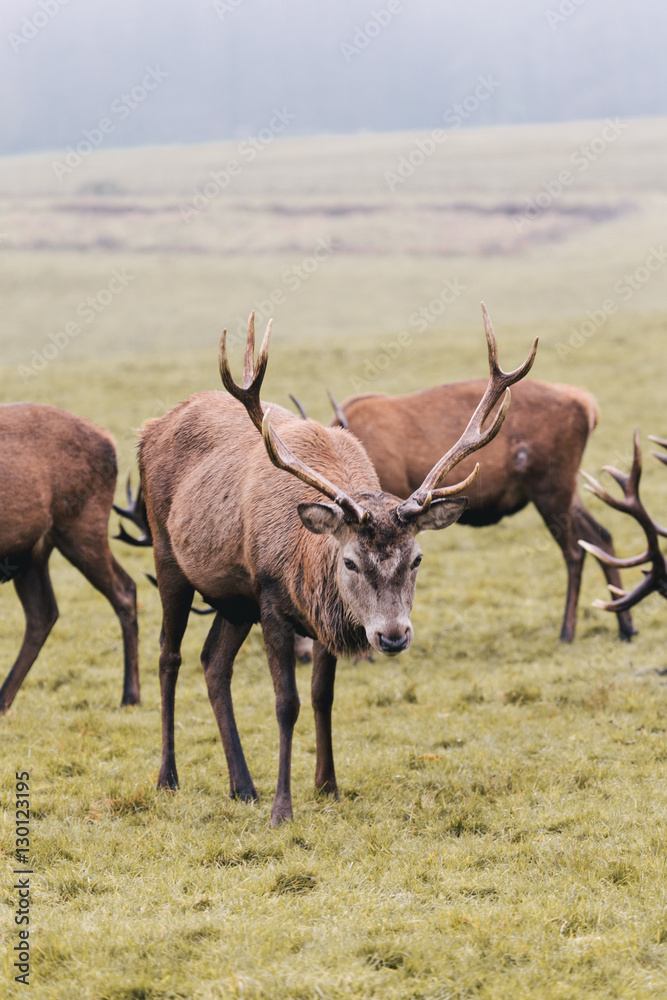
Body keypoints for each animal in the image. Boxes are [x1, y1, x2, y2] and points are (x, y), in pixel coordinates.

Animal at [0, 403, 140, 712]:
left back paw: (130, 696)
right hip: (33, 551)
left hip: (81, 526)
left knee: (125, 588)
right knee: (43, 613)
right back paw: (3, 700)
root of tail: (108, 439)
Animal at [137, 305, 537, 825]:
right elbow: (286, 703)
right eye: (349, 561)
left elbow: (322, 697)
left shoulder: (322, 616)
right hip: (168, 556)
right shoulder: (270, 599)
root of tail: (149, 428)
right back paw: (168, 778)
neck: (306, 567)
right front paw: (282, 808)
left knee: (213, 663)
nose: (392, 635)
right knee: (169, 656)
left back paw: (242, 785)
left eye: (417, 558)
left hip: (233, 599)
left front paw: (328, 786)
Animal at [321, 363, 635, 644]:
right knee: (600, 535)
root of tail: (589, 406)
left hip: (552, 484)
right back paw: (626, 626)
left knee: (575, 551)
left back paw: (567, 632)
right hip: (569, 489)